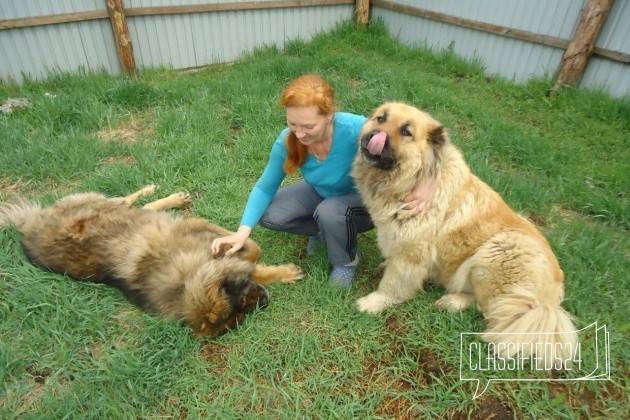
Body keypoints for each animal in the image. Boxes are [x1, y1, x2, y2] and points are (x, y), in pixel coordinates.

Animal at [0, 185, 306, 336]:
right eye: (242, 309)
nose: (265, 301)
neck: (186, 281)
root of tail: (27, 225)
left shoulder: (199, 232)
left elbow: (251, 251)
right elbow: (252, 255)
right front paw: (282, 273)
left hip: (104, 206)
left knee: (130, 201)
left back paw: (165, 195)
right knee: (132, 204)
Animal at [354, 103, 580, 362]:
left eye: (406, 132)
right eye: (380, 119)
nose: (373, 136)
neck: (412, 181)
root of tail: (550, 302)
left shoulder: (412, 252)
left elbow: (393, 285)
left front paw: (373, 303)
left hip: (495, 252)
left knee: (492, 310)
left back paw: (451, 301)